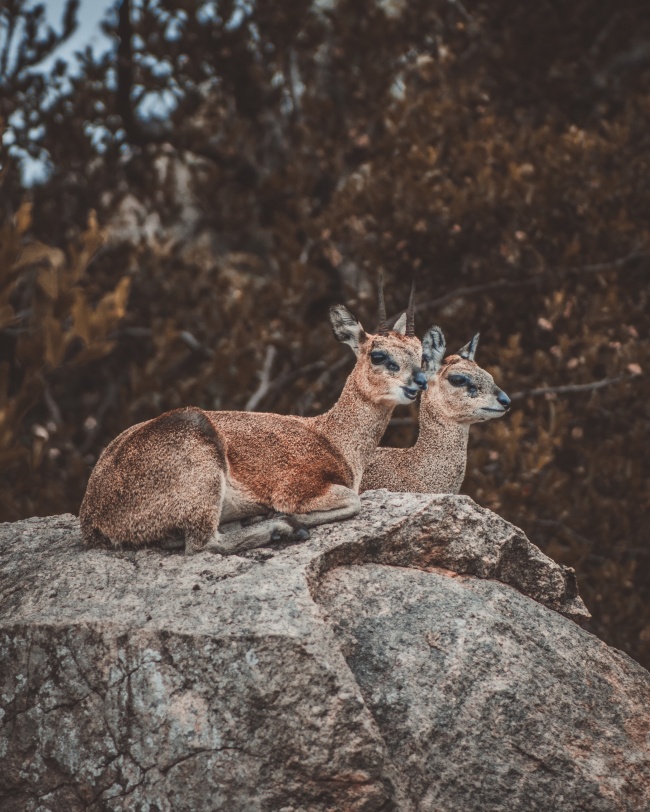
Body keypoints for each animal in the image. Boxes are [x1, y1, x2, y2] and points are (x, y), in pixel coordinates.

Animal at [79, 282, 426, 556]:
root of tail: (92, 514)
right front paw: (281, 518)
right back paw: (280, 528)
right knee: (203, 544)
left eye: (421, 352)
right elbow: (352, 501)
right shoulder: (296, 489)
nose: (419, 382)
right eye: (378, 354)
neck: (334, 440)